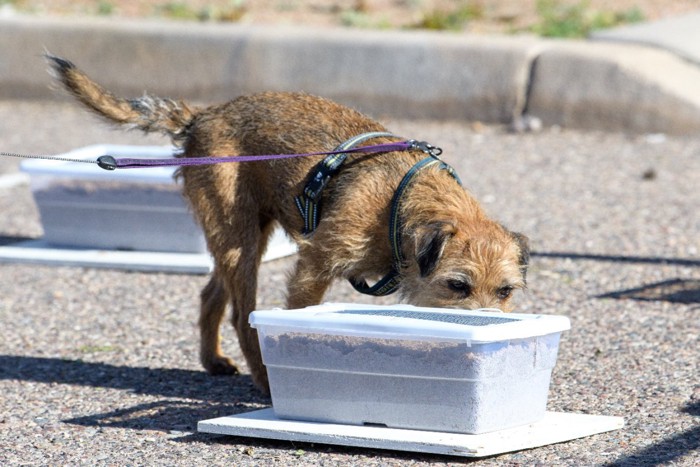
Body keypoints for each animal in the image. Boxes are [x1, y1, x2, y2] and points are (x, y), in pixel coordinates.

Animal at [47, 53, 532, 394]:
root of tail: (202, 115)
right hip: (239, 241)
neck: (400, 198)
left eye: (505, 291)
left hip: (242, 237)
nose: (492, 326)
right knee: (242, 316)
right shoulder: (313, 268)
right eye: (457, 286)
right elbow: (297, 318)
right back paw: (263, 381)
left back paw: (213, 361)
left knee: (211, 295)